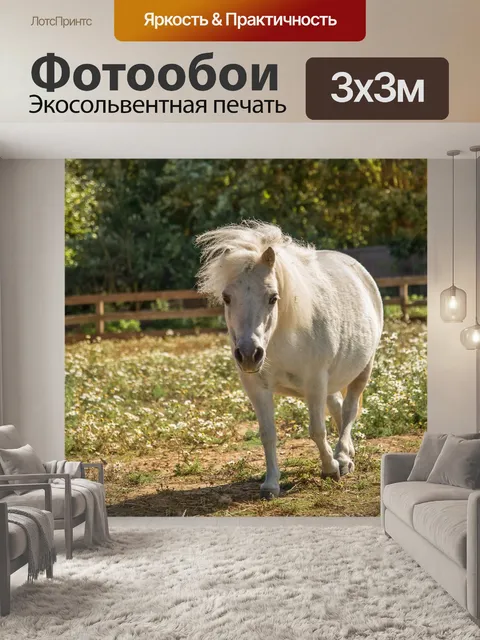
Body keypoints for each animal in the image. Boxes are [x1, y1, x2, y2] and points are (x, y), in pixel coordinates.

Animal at [196, 221, 384, 499]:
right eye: (227, 297)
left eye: (273, 298)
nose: (249, 354)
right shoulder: (256, 387)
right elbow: (268, 434)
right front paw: (271, 484)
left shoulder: (315, 382)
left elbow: (317, 430)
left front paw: (330, 468)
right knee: (338, 407)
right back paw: (347, 454)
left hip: (363, 369)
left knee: (349, 409)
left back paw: (342, 457)